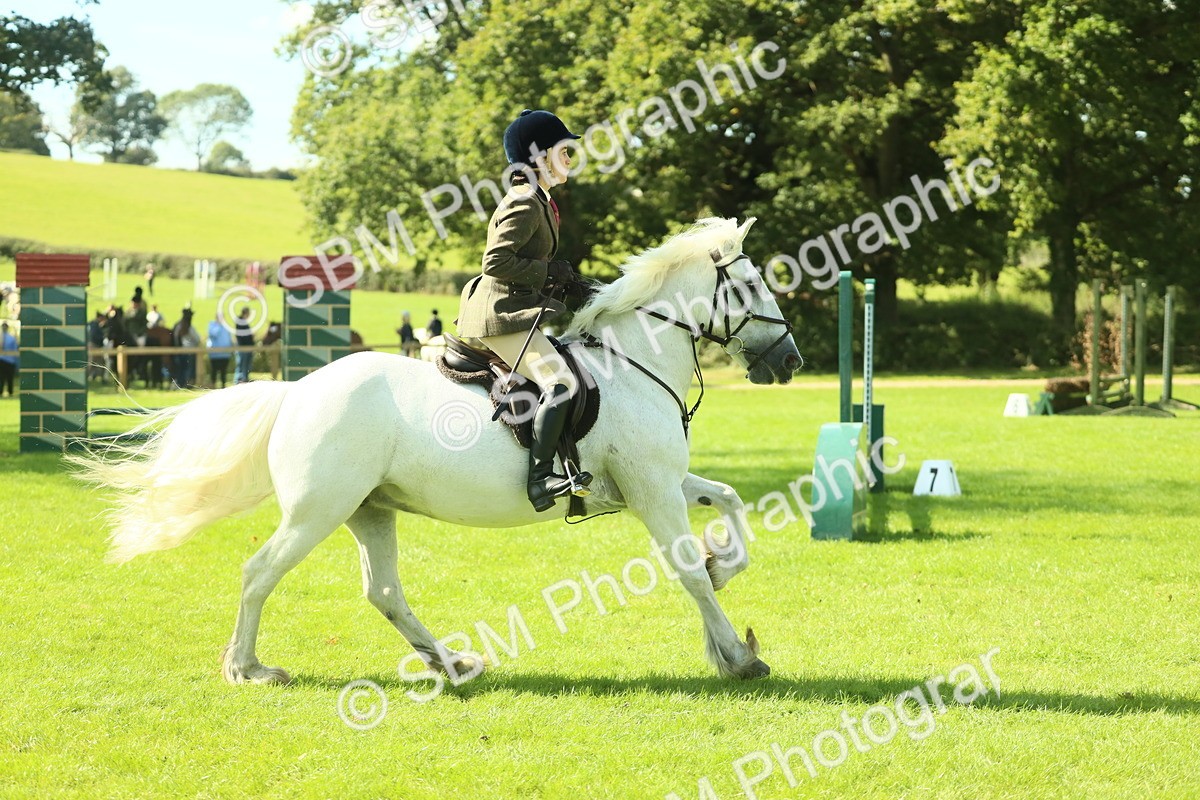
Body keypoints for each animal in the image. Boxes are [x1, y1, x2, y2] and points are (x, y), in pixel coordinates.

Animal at [70, 216, 803, 685]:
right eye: (753, 287)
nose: (790, 360)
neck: (635, 363)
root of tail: (297, 391)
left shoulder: (655, 484)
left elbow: (728, 502)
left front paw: (724, 566)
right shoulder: (651, 491)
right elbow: (685, 572)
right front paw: (738, 656)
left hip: (370, 509)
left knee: (384, 591)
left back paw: (451, 664)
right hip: (318, 510)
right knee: (259, 573)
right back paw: (248, 669)